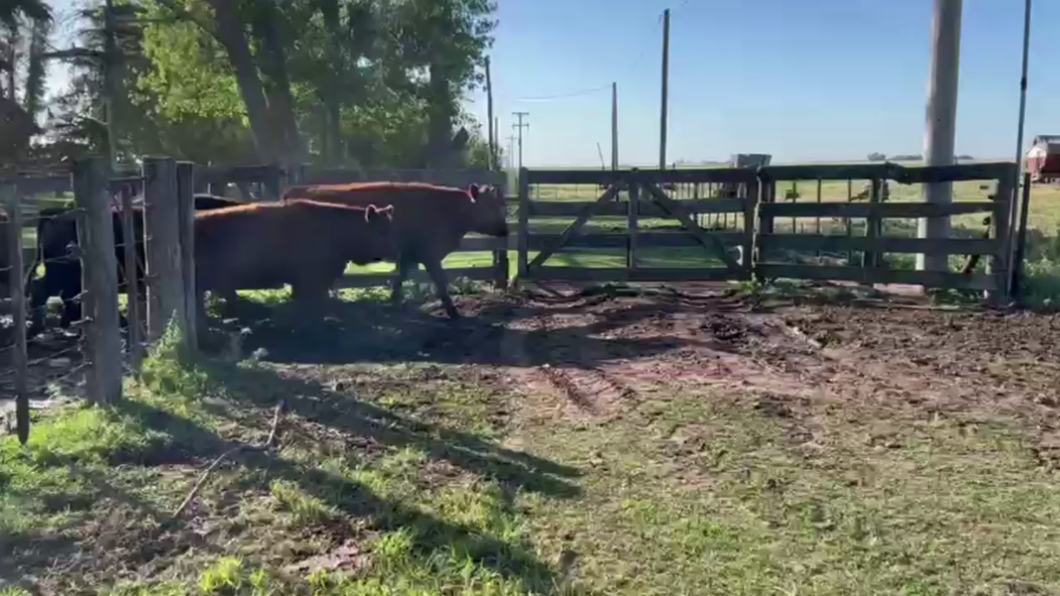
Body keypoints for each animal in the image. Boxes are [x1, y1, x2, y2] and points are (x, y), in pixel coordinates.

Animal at [279, 181, 506, 318]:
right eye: (489, 207)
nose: (505, 229)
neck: (449, 211)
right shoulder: (429, 254)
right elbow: (440, 281)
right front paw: (453, 312)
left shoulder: (409, 256)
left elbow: (400, 277)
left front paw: (394, 302)